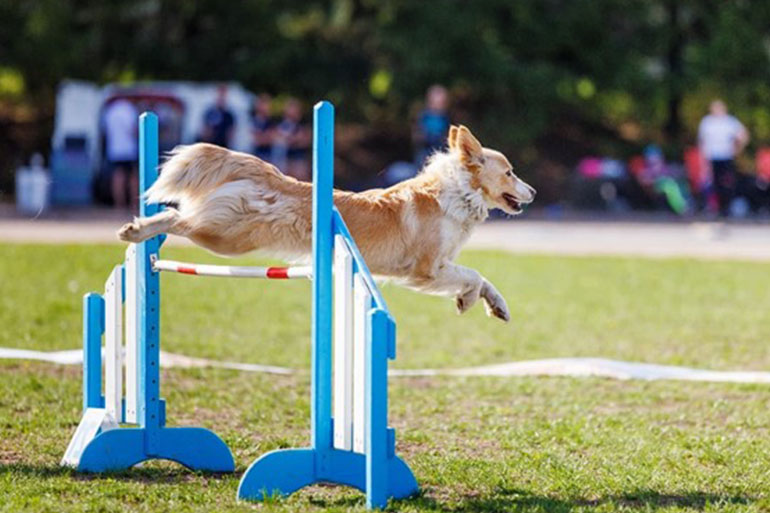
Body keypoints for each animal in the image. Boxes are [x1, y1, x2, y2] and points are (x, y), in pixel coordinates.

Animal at [117, 125, 536, 320]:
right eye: (510, 172)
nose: (533, 192)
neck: (459, 192)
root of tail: (272, 175)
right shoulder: (427, 269)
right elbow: (474, 275)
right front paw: (467, 300)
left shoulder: (439, 266)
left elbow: (484, 279)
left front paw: (496, 307)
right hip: (223, 237)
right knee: (176, 217)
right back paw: (135, 230)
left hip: (225, 239)